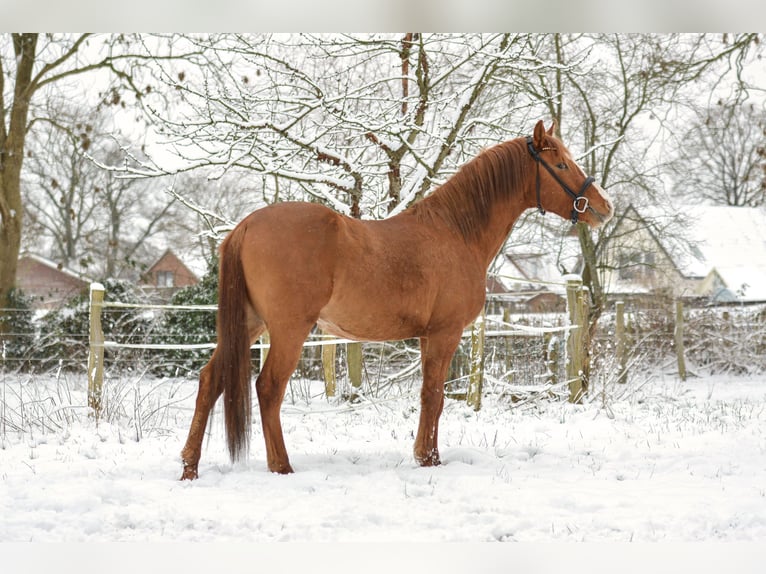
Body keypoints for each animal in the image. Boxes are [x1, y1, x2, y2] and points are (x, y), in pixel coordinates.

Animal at [178, 121, 612, 482]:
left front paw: (425, 454)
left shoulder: (428, 336)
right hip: (288, 330)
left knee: (211, 380)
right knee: (268, 388)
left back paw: (189, 466)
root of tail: (246, 225)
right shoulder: (445, 333)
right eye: (561, 163)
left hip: (250, 324)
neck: (456, 232)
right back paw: (281, 467)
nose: (604, 207)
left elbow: (429, 395)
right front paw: (429, 459)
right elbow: (434, 395)